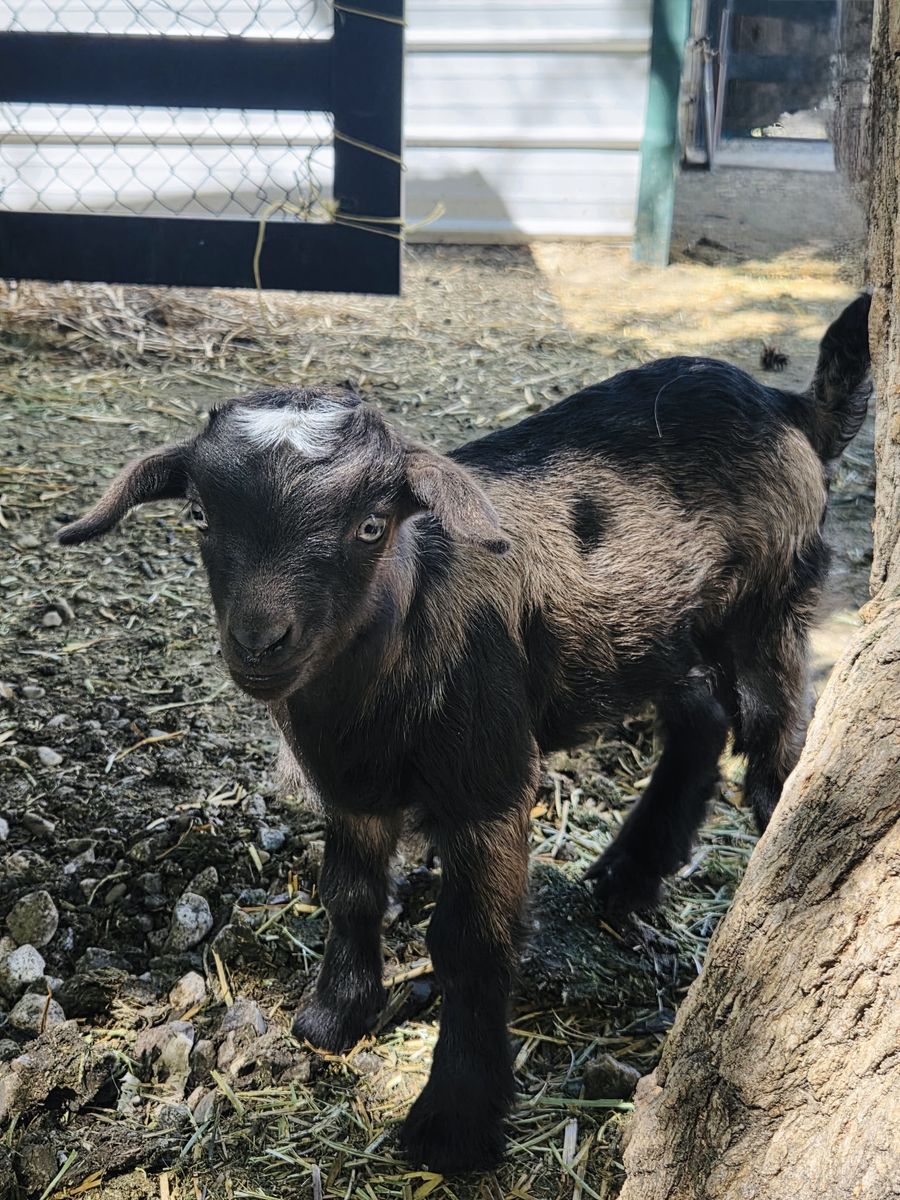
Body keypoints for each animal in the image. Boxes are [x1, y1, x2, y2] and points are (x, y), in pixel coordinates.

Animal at [59, 294, 872, 1174]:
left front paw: (453, 1124)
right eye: (200, 515)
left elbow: (469, 942)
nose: (260, 641)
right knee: (699, 719)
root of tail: (785, 404)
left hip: (766, 611)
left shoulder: (489, 783)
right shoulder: (353, 785)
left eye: (372, 526)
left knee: (774, 747)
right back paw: (625, 877)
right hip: (657, 632)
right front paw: (333, 1019)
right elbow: (348, 892)